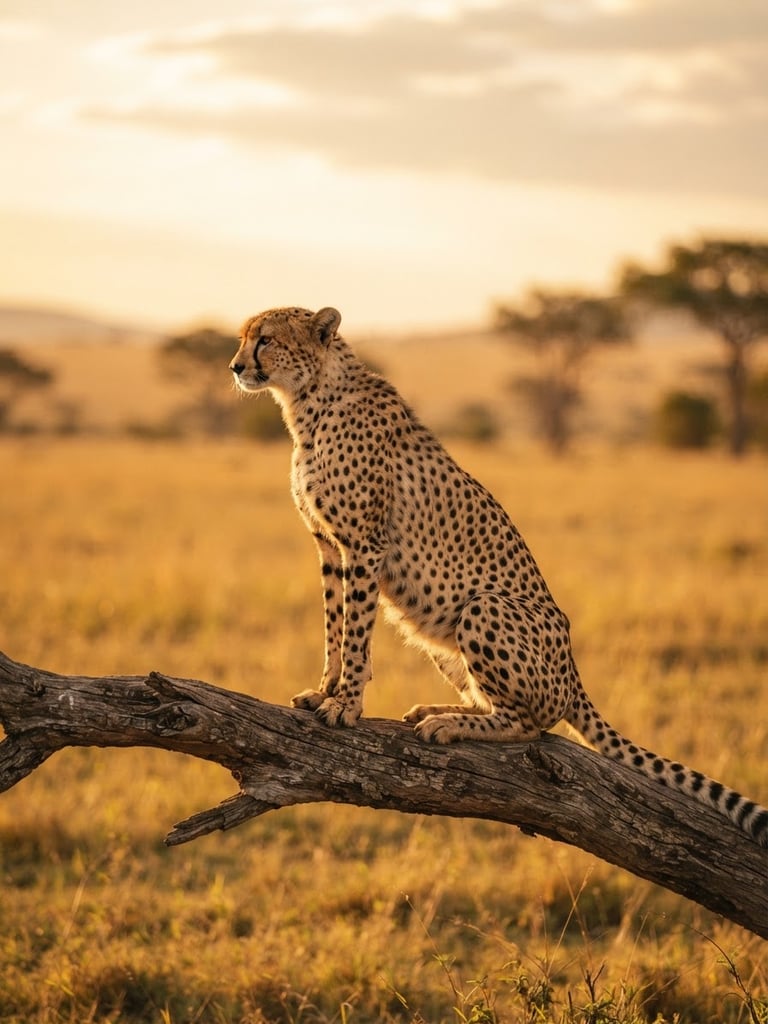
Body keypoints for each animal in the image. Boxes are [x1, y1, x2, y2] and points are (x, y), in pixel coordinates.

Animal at [229, 304, 768, 848]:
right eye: (243, 338)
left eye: (266, 339)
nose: (235, 367)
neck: (309, 401)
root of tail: (573, 674)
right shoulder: (327, 546)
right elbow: (333, 627)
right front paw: (325, 690)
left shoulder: (364, 545)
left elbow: (356, 634)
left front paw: (346, 704)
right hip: (445, 642)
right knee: (494, 701)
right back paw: (442, 712)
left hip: (484, 607)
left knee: (531, 726)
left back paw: (450, 725)